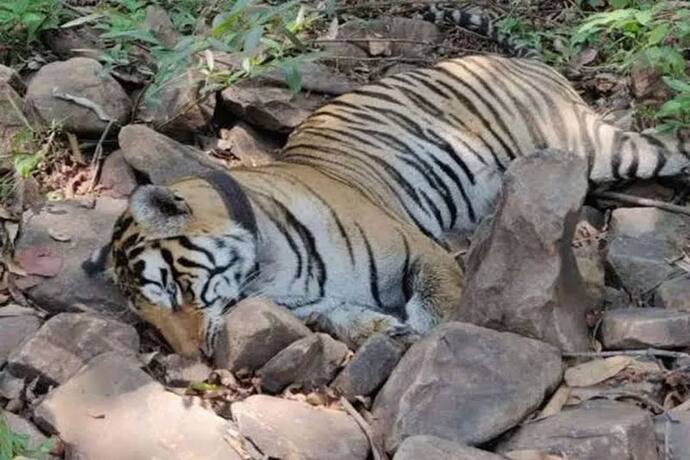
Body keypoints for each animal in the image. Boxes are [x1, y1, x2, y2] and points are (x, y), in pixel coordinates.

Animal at [82, 8, 688, 360]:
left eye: (172, 290)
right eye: (145, 316)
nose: (188, 360)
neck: (263, 270)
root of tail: (527, 64)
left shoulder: (421, 251)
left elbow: (441, 307)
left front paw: (430, 339)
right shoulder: (312, 304)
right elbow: (344, 317)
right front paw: (383, 331)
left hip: (601, 147)